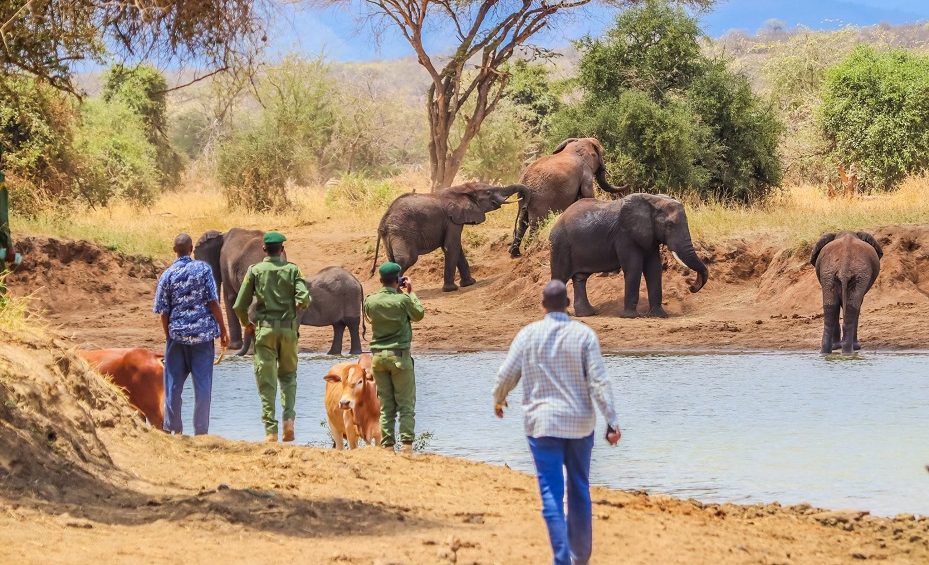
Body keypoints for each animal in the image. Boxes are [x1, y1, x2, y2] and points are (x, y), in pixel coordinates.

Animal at [195, 229, 365, 355]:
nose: (236, 355)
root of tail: (358, 281)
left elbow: (230, 297)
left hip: (350, 297)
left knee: (351, 323)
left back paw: (354, 353)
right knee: (338, 325)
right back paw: (333, 354)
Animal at [372, 182, 528, 291]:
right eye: (489, 192)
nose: (524, 200)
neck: (461, 189)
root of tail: (383, 222)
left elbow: (457, 248)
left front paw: (469, 283)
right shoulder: (452, 220)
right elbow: (451, 246)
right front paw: (451, 289)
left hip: (392, 234)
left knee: (392, 260)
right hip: (401, 232)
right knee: (407, 259)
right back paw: (397, 292)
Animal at [549, 193, 709, 318]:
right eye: (669, 225)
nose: (691, 287)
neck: (654, 201)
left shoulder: (649, 236)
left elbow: (654, 269)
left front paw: (659, 315)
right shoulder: (625, 235)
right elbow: (634, 268)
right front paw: (631, 316)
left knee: (580, 279)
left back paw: (587, 314)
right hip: (560, 244)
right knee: (560, 277)